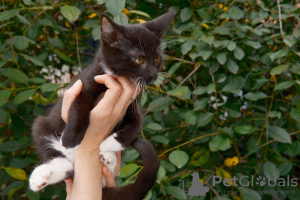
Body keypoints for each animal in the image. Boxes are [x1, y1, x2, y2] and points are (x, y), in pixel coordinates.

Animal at [29, 11, 175, 199]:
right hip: (42, 124)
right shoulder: (84, 85)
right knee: (59, 159)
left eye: (157, 58)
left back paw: (109, 158)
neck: (120, 79)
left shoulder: (133, 103)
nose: (153, 75)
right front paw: (70, 140)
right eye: (138, 59)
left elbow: (135, 126)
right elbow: (79, 108)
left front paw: (109, 144)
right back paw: (41, 175)